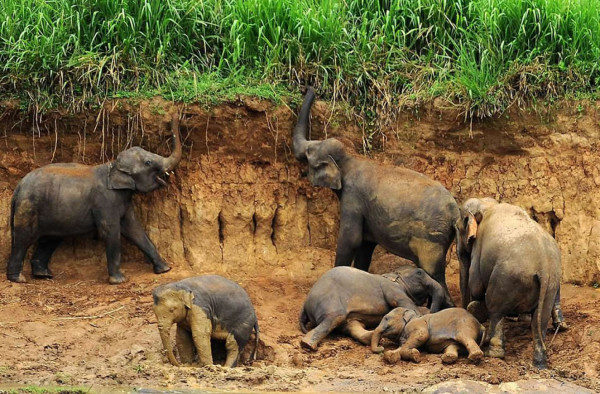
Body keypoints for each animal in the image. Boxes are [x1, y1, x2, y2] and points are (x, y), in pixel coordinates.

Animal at [5, 114, 182, 284]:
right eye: (148, 162)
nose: (174, 115)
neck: (112, 165)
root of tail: (18, 187)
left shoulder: (123, 200)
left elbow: (134, 229)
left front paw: (165, 269)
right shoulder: (105, 201)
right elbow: (111, 231)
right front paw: (119, 281)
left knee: (49, 239)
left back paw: (44, 275)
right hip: (28, 207)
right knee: (24, 238)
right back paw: (18, 279)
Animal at [292, 87, 458, 310]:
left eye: (309, 154)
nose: (311, 89)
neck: (353, 158)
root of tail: (456, 212)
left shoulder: (353, 197)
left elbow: (350, 239)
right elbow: (365, 245)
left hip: (432, 238)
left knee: (434, 273)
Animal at [300, 264, 446, 350]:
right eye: (419, 273)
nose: (431, 308)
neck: (392, 275)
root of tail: (305, 305)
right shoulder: (392, 288)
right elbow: (404, 302)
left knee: (352, 325)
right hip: (329, 302)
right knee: (335, 318)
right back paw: (307, 345)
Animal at [458, 200, 564, 370]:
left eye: (458, 228)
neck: (487, 204)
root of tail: (543, 266)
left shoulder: (479, 246)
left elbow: (476, 283)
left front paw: (474, 307)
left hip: (507, 277)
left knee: (496, 309)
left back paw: (493, 354)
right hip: (550, 284)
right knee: (540, 320)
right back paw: (539, 363)